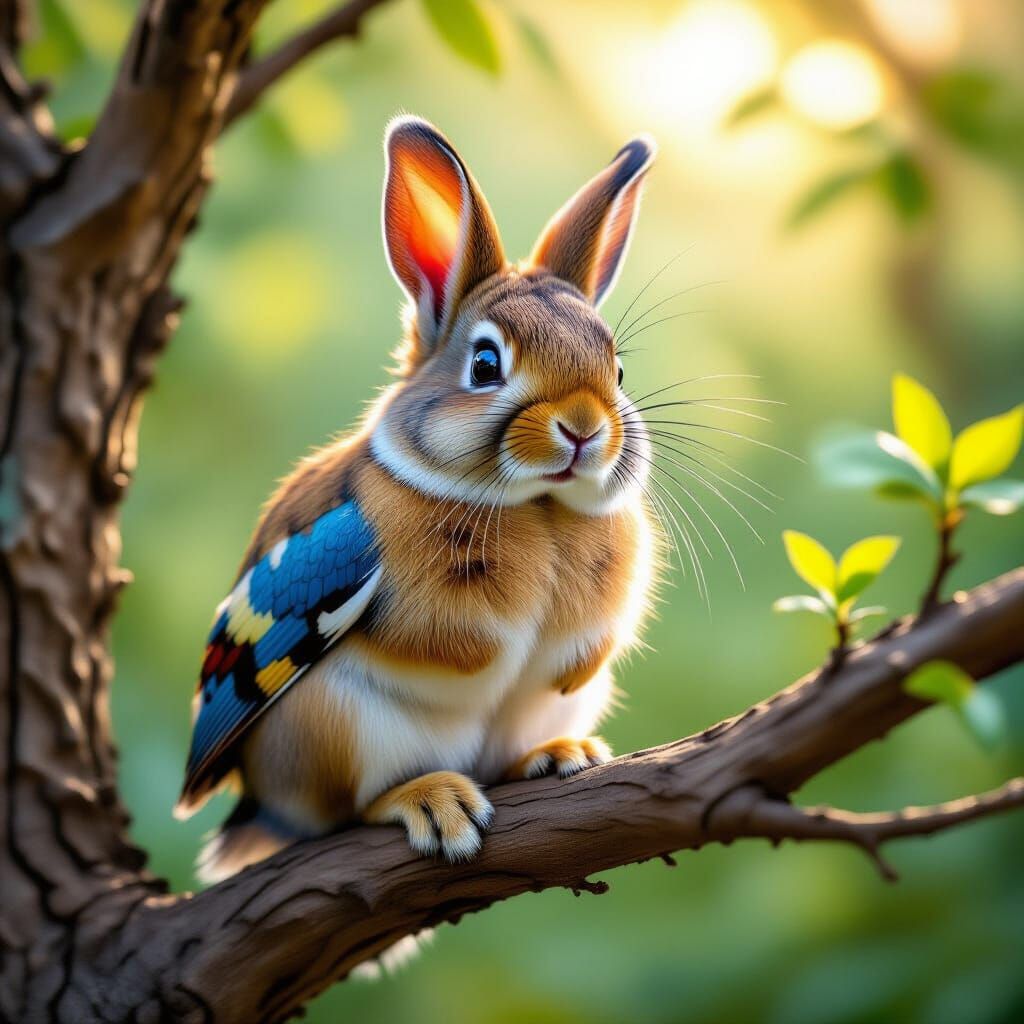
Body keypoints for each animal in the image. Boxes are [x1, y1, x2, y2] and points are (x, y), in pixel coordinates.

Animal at [175, 115, 658, 883]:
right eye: (485, 364)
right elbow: (465, 647)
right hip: (333, 726)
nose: (583, 428)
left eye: (616, 369)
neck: (540, 509)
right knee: (349, 808)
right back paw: (429, 799)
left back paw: (552, 755)